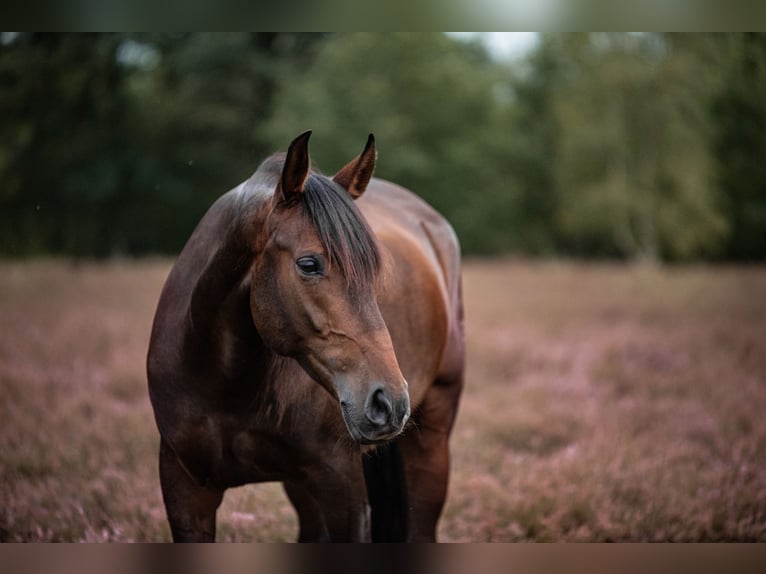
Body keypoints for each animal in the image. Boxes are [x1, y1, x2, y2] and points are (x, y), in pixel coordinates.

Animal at [146, 132, 464, 544]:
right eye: (309, 264)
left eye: (375, 270)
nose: (390, 402)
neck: (224, 381)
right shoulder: (184, 487)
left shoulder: (343, 488)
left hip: (432, 442)